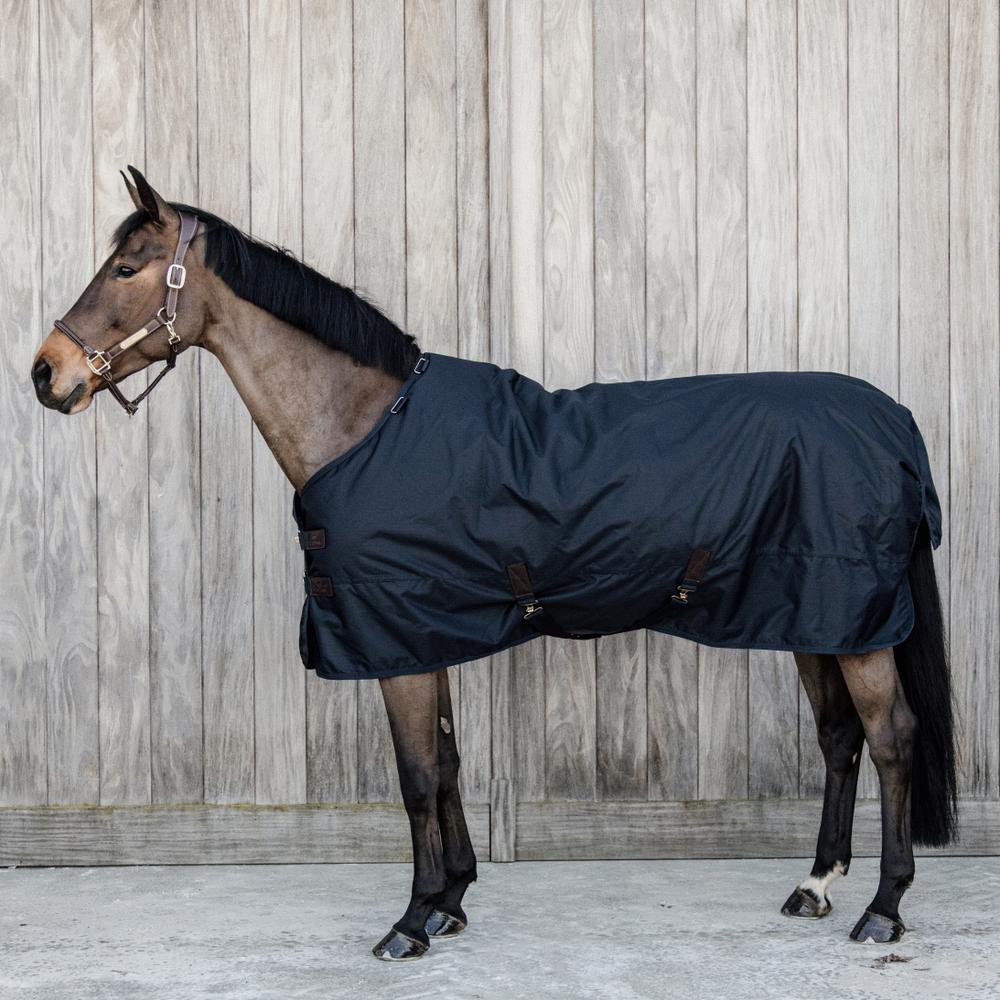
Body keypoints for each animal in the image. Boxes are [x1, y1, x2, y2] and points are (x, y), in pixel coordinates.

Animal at [31, 167, 958, 961]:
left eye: (125, 268)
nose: (48, 373)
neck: (368, 426)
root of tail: (894, 420)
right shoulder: (420, 633)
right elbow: (446, 765)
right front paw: (452, 901)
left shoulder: (395, 643)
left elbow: (413, 778)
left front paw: (410, 921)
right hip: (815, 618)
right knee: (840, 739)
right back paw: (816, 886)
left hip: (856, 626)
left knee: (891, 741)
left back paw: (883, 909)